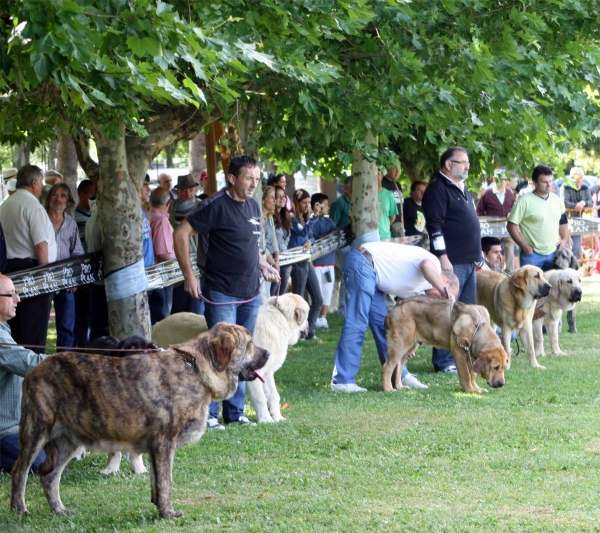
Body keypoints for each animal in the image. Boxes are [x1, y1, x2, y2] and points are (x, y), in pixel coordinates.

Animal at [11, 322, 270, 516]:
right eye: (249, 344)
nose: (268, 352)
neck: (194, 369)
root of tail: (34, 371)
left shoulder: (156, 447)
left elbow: (157, 482)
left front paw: (160, 509)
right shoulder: (164, 443)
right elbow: (166, 482)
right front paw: (169, 513)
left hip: (68, 440)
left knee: (50, 477)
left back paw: (59, 510)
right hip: (36, 431)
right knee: (19, 472)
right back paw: (19, 509)